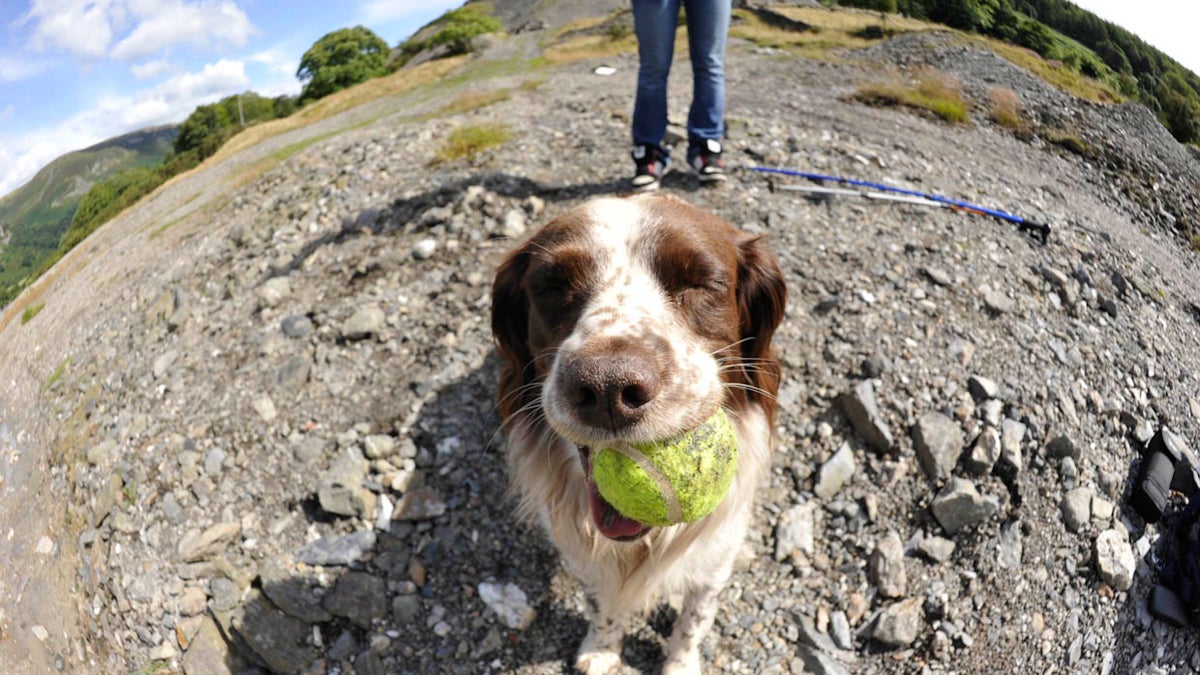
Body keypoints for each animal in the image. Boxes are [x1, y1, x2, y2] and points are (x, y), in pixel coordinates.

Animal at [489, 192, 787, 667]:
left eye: (700, 283)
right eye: (552, 286)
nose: (607, 389)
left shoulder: (716, 559)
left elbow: (693, 622)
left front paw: (680, 665)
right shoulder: (582, 556)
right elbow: (603, 607)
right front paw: (602, 653)